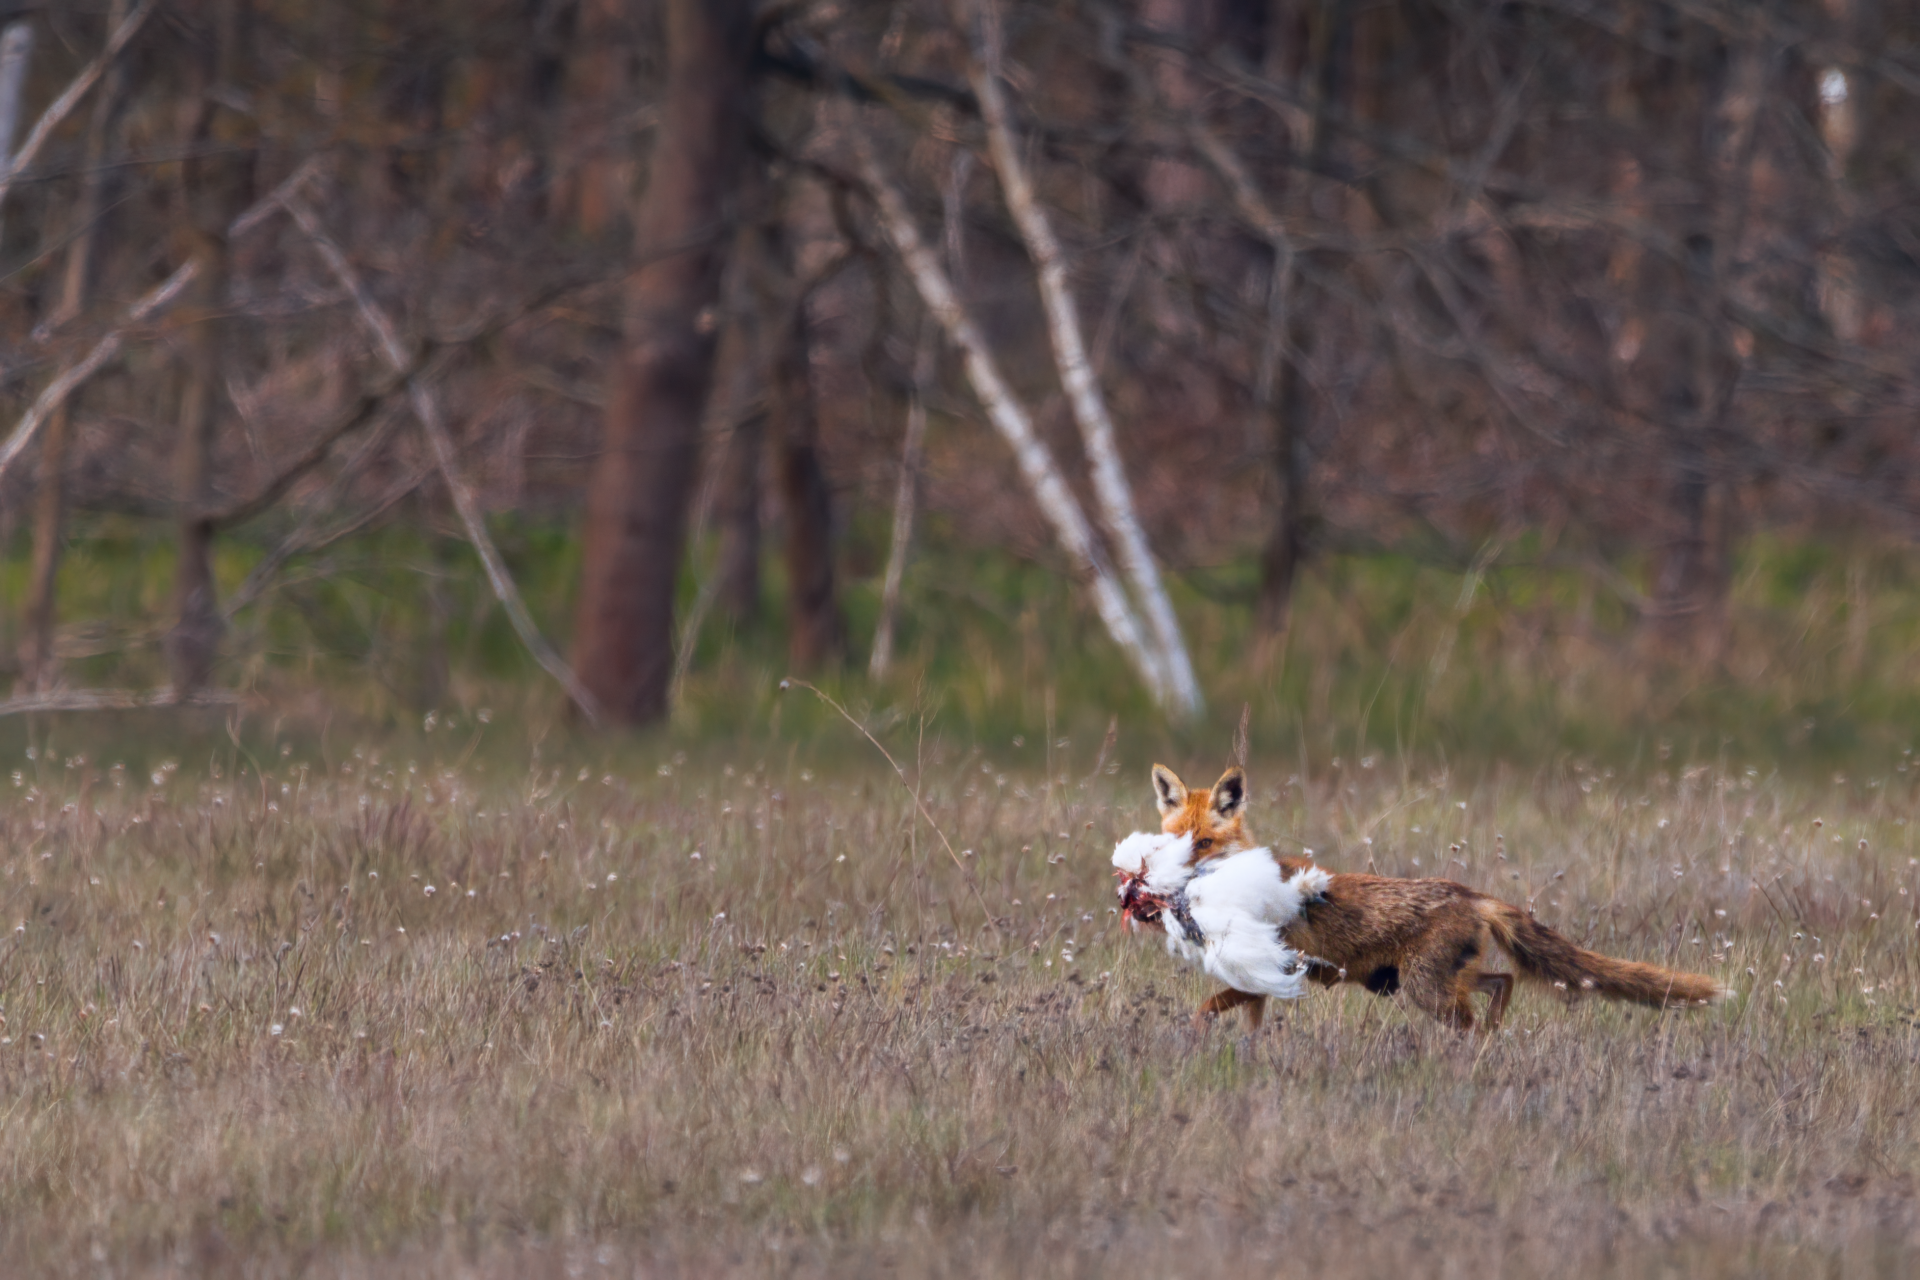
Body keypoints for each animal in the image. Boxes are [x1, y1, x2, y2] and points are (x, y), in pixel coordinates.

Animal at [1129, 764, 1730, 1033]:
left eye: (1204, 843)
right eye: (1172, 840)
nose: (1164, 885)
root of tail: (1473, 893)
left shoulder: (1266, 970)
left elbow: (1202, 1012)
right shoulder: (1255, 982)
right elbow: (1241, 1026)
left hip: (1425, 990)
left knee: (1476, 1017)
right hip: (1437, 981)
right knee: (1502, 982)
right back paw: (1494, 1033)